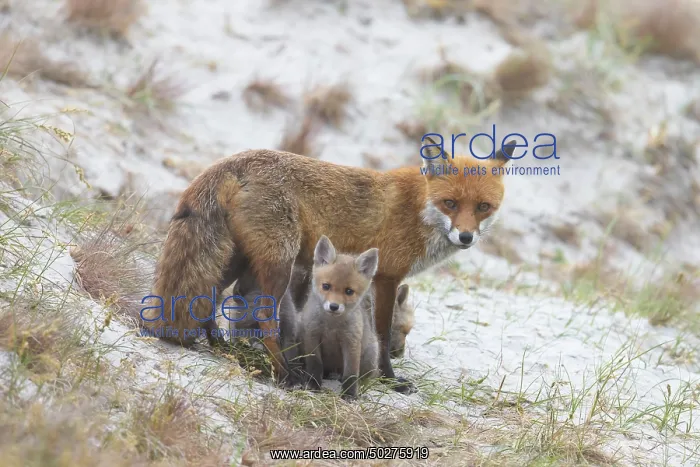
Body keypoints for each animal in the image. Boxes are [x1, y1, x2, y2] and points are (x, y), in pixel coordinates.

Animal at [301, 235, 380, 400]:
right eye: (326, 286)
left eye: (349, 291)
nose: (334, 306)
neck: (331, 326)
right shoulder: (311, 336)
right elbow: (315, 364)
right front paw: (313, 384)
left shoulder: (351, 342)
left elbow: (351, 373)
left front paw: (349, 394)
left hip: (370, 356)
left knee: (365, 376)